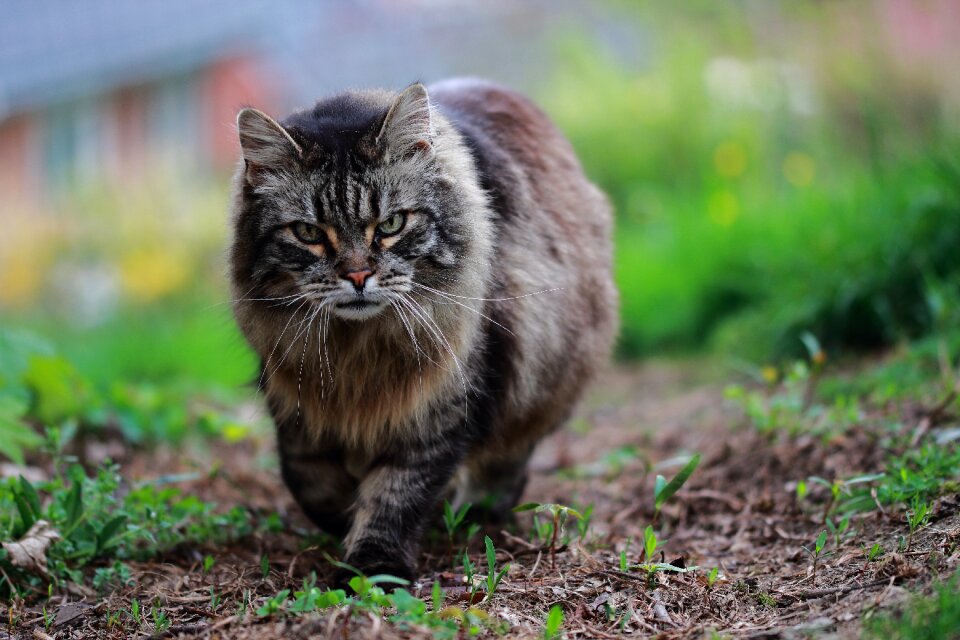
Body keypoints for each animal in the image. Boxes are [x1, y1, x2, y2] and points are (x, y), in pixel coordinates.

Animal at [230, 77, 620, 584]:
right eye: (309, 233)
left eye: (391, 224)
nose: (358, 276)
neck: (357, 351)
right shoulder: (294, 400)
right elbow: (310, 480)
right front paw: (342, 519)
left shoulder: (441, 406)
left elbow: (396, 494)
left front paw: (373, 565)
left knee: (509, 462)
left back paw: (478, 510)